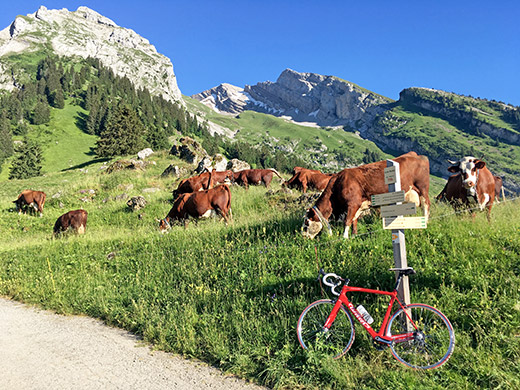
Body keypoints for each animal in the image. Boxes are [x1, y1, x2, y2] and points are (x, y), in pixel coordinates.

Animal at [300, 152, 430, 238]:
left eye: (307, 223)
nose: (303, 236)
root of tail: (417, 155)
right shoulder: (358, 206)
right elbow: (354, 221)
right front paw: (354, 235)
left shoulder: (352, 204)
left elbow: (347, 221)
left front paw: (344, 237)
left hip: (422, 188)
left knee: (426, 205)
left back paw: (426, 222)